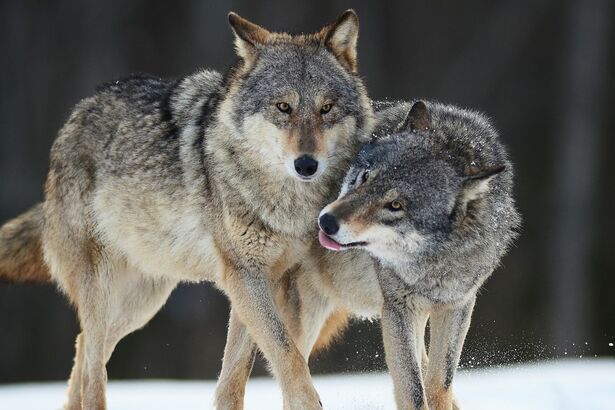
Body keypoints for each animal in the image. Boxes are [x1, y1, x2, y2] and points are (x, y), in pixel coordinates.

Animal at [0, 9, 376, 410]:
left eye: (326, 108)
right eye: (283, 107)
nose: (306, 164)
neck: (285, 202)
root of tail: (77, 113)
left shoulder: (262, 281)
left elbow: (234, 376)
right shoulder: (244, 275)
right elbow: (285, 352)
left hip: (142, 302)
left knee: (85, 344)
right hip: (103, 289)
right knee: (93, 366)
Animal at [320, 100, 524, 410]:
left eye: (395, 205)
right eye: (365, 177)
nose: (326, 221)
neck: (436, 262)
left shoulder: (458, 305)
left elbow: (439, 382)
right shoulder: (398, 308)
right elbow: (414, 390)